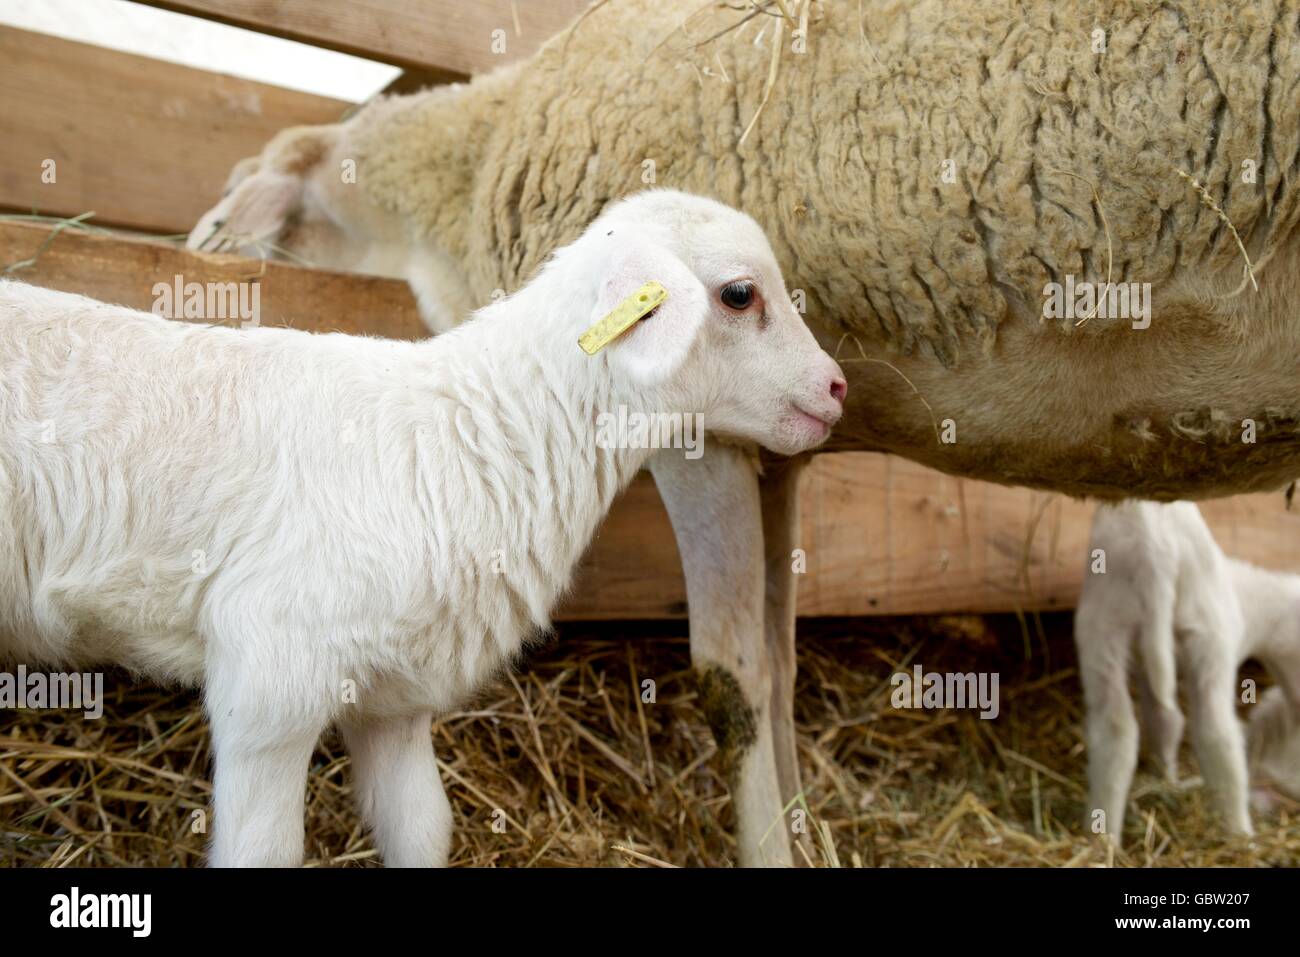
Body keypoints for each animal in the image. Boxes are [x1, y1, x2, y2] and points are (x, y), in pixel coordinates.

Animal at [0, 189, 847, 867]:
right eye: (739, 294)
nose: (836, 387)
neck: (476, 431)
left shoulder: (394, 699)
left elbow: (422, 828)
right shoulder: (270, 675)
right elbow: (265, 850)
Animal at [1074, 500, 1300, 843]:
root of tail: (1153, 545)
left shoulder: (1147, 672)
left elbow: (1163, 721)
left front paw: (1165, 777)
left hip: (1102, 627)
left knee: (1115, 732)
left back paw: (1103, 838)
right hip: (1207, 634)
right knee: (1216, 733)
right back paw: (1240, 834)